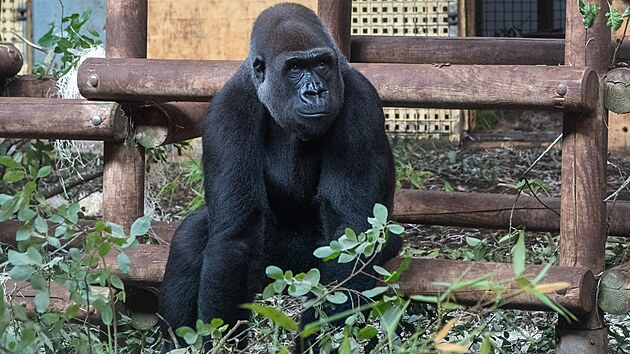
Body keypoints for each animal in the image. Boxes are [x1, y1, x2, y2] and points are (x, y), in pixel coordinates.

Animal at [160, 2, 402, 352]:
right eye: (295, 68)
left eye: (322, 64)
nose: (315, 91)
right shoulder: (227, 111)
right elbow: (235, 237)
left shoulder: (362, 104)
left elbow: (353, 234)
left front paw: (321, 340)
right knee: (192, 238)